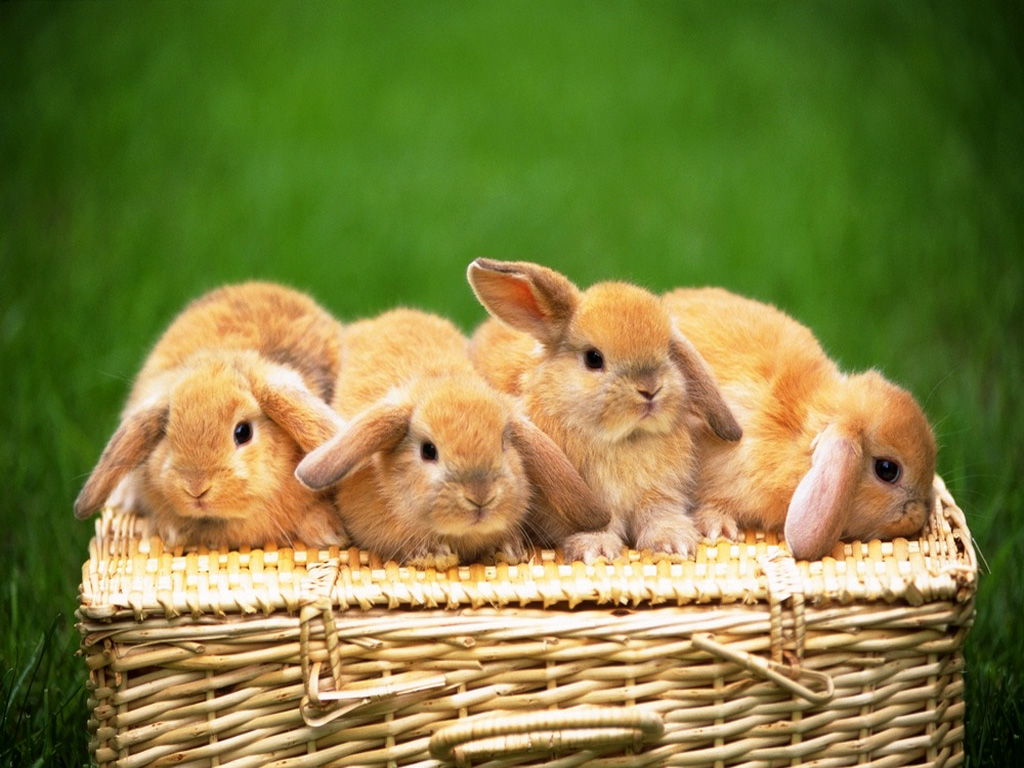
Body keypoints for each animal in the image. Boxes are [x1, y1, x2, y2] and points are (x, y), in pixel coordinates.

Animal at [466, 259, 745, 565]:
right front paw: (596, 550)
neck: (624, 439)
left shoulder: (659, 494)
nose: (650, 389)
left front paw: (674, 543)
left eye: (667, 352)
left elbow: (659, 515)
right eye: (593, 358)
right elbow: (599, 526)